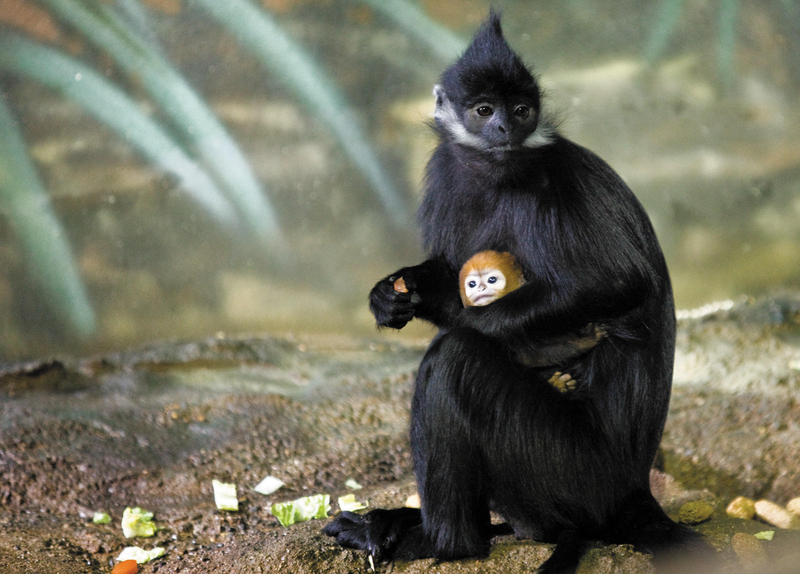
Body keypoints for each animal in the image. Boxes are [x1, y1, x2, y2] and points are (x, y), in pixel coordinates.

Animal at [324, 10, 708, 574]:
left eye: (522, 110)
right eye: (485, 110)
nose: (506, 127)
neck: (497, 174)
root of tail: (634, 492)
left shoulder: (549, 184)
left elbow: (619, 283)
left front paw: (479, 322)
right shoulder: (446, 172)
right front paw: (393, 293)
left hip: (573, 472)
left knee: (455, 360)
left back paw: (442, 543)